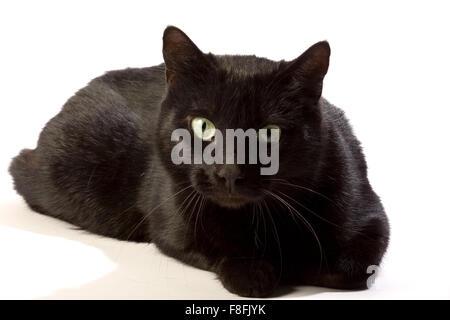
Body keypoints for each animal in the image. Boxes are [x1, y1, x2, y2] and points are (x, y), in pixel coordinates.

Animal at [10, 26, 390, 298]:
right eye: (203, 126)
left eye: (269, 133)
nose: (229, 171)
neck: (260, 220)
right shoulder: (173, 223)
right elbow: (218, 252)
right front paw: (257, 270)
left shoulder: (371, 217)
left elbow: (347, 268)